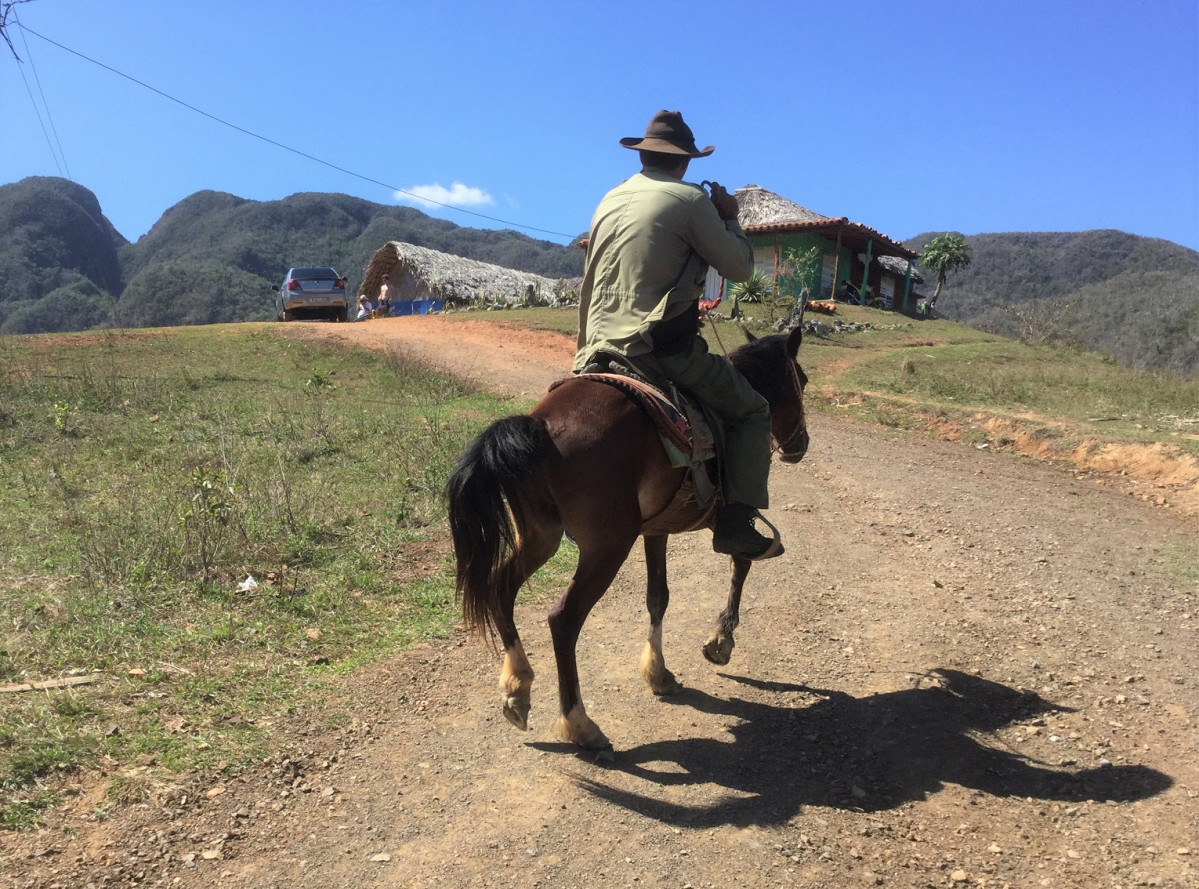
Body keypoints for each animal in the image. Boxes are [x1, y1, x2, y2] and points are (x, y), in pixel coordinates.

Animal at [446, 326, 810, 748]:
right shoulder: (729, 516)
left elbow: (658, 597)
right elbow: (742, 560)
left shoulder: (656, 530)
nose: (800, 445)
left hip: (541, 537)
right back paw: (580, 724)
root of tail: (538, 426)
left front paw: (659, 673)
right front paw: (721, 642)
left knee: (501, 587)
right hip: (607, 547)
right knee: (563, 620)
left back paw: (517, 689)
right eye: (802, 380)